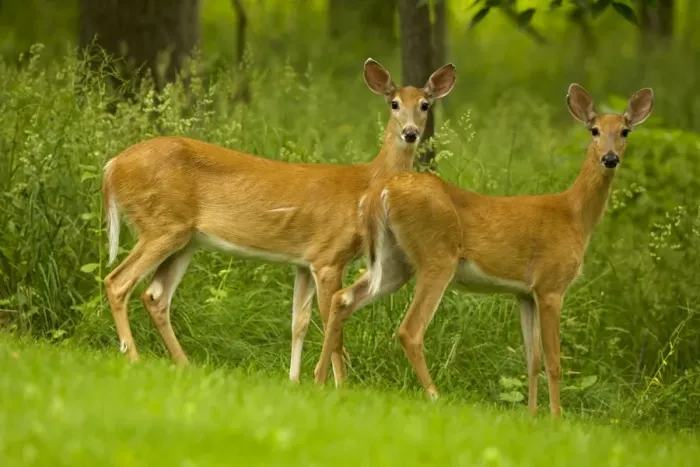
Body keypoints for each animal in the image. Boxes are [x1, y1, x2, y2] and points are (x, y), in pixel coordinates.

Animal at [101, 58, 457, 386]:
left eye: (425, 104)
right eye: (394, 103)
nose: (410, 133)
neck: (366, 185)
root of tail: (112, 166)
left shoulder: (305, 261)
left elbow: (299, 322)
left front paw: (295, 380)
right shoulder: (329, 256)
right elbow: (332, 321)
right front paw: (338, 386)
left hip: (185, 238)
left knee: (155, 295)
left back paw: (184, 364)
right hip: (162, 225)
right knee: (117, 282)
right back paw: (133, 356)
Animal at [313, 84, 653, 417]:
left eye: (625, 131)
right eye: (594, 130)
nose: (610, 158)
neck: (574, 216)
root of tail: (381, 191)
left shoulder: (524, 293)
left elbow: (532, 359)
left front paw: (532, 416)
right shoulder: (551, 285)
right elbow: (554, 361)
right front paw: (556, 418)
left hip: (394, 261)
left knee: (342, 298)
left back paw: (320, 379)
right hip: (438, 256)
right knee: (409, 330)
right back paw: (436, 396)